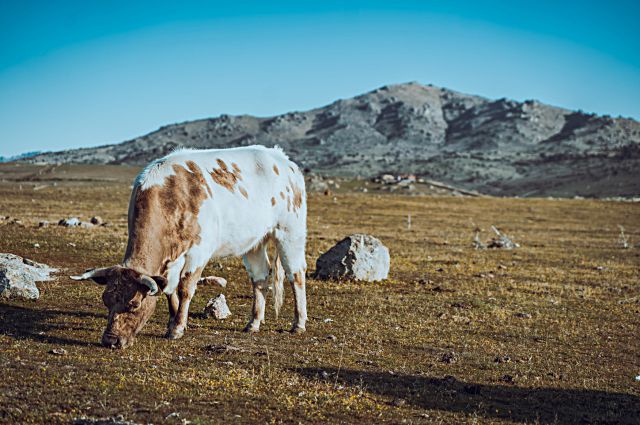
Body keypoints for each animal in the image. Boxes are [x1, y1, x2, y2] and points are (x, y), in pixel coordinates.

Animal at [70, 146, 308, 348]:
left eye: (134, 304)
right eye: (106, 301)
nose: (110, 341)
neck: (170, 197)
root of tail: (283, 160)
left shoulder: (198, 252)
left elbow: (185, 288)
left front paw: (177, 328)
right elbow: (169, 289)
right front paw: (172, 321)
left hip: (290, 232)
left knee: (296, 274)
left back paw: (298, 324)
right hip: (253, 242)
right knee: (260, 278)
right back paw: (254, 323)